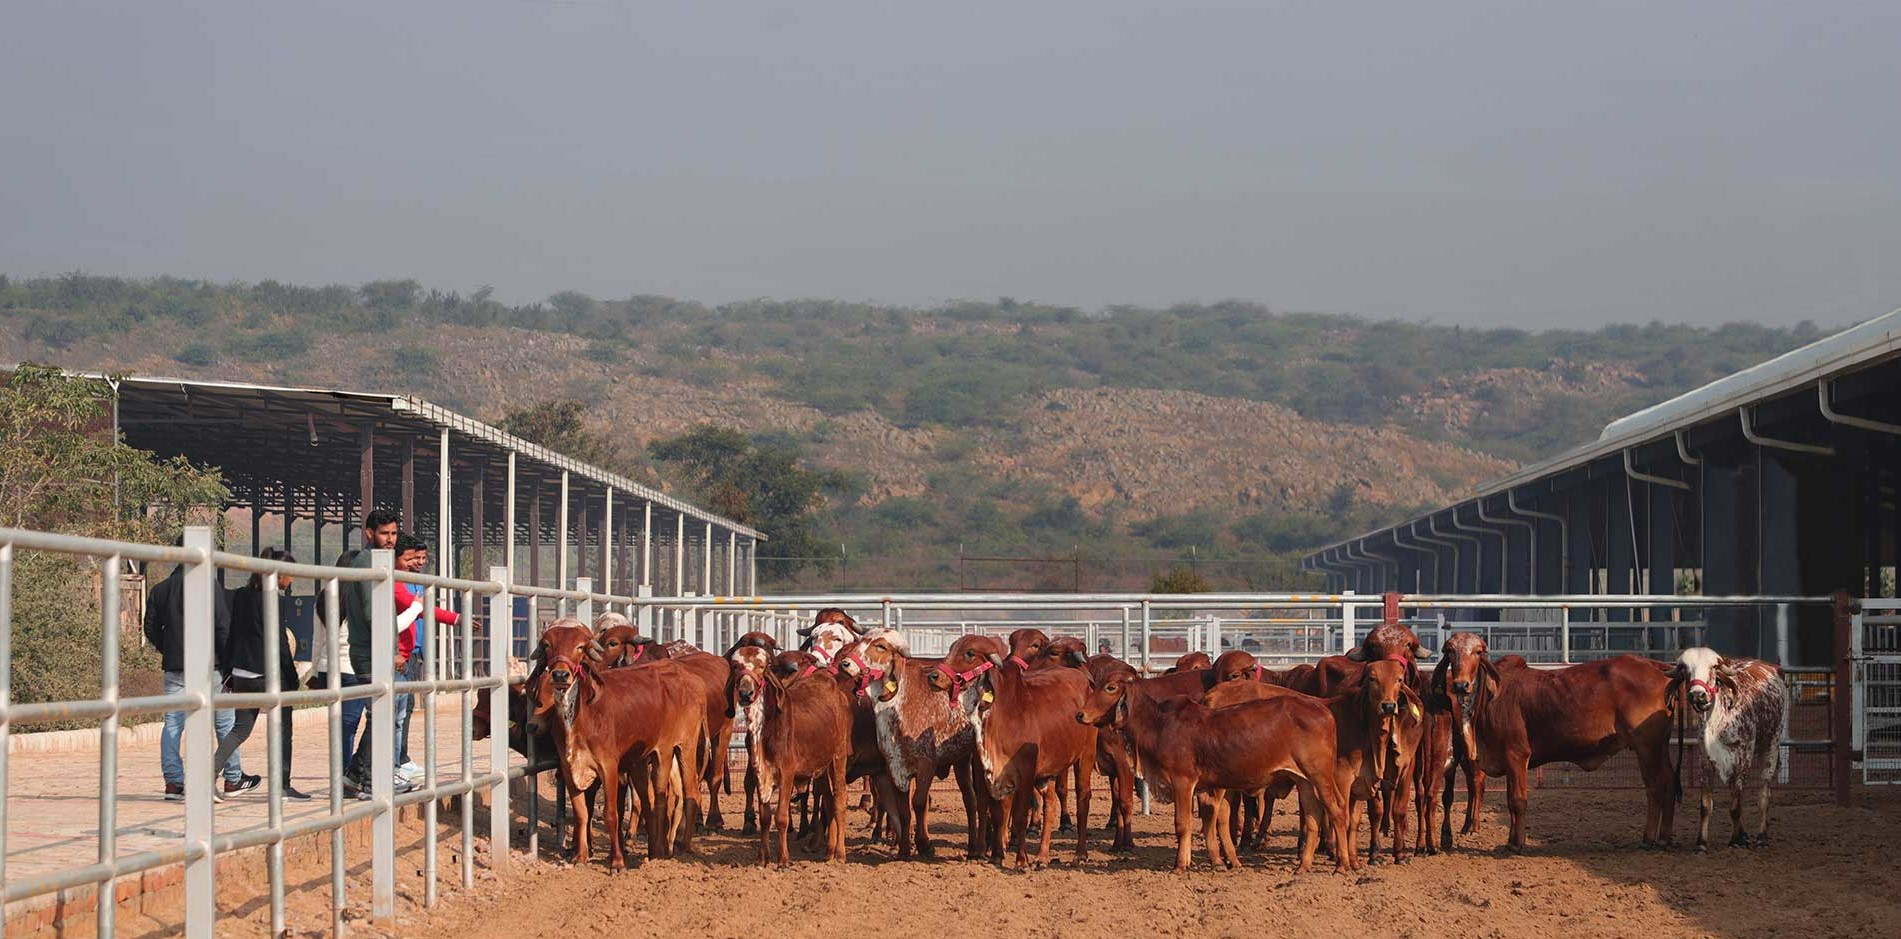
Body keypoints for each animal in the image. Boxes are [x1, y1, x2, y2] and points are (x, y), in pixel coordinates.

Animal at [747, 649, 854, 865]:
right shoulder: (760, 774)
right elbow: (765, 816)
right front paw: (763, 858)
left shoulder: (787, 773)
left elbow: (781, 817)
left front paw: (783, 860)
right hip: (823, 767)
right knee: (829, 800)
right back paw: (829, 851)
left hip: (838, 757)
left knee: (839, 798)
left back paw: (839, 853)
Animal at [1077, 658, 1352, 873]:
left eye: (1111, 688)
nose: (1080, 715)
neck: (1159, 724)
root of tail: (1324, 710)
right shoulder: (1207, 787)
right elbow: (1210, 821)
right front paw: (1218, 861)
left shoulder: (1183, 781)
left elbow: (1183, 824)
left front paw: (1180, 865)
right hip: (1304, 780)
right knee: (1314, 816)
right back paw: (1303, 866)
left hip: (1320, 775)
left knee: (1337, 809)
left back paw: (1342, 864)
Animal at [1439, 632, 1678, 851]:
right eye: (1449, 650)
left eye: (1478, 651)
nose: (1461, 685)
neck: (1492, 697)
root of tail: (1656, 666)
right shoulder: (1508, 761)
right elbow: (1509, 800)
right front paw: (1510, 840)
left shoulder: (1517, 755)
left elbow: (1517, 800)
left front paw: (1516, 843)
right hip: (1661, 746)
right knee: (1669, 782)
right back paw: (1665, 838)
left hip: (1646, 746)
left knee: (1655, 786)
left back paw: (1648, 838)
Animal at [1674, 647, 1787, 851]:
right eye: (1685, 668)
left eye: (1713, 667)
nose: (1697, 695)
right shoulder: (1706, 760)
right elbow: (1706, 805)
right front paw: (1701, 843)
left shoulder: (1743, 756)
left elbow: (1736, 805)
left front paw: (1735, 840)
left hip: (1772, 744)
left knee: (1764, 794)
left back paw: (1761, 837)